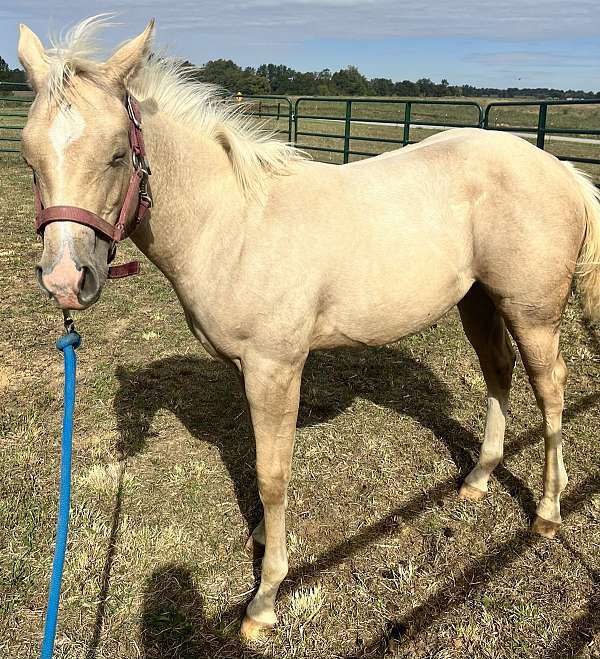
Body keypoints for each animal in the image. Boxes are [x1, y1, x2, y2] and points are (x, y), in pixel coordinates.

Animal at [16, 19, 600, 640]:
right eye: (29, 157)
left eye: (116, 155)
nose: (64, 279)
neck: (230, 222)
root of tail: (561, 170)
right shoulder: (246, 370)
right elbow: (258, 465)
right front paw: (260, 537)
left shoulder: (275, 368)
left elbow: (272, 474)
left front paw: (265, 598)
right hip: (480, 301)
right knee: (498, 371)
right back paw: (479, 477)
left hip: (532, 311)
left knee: (551, 389)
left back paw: (547, 513)